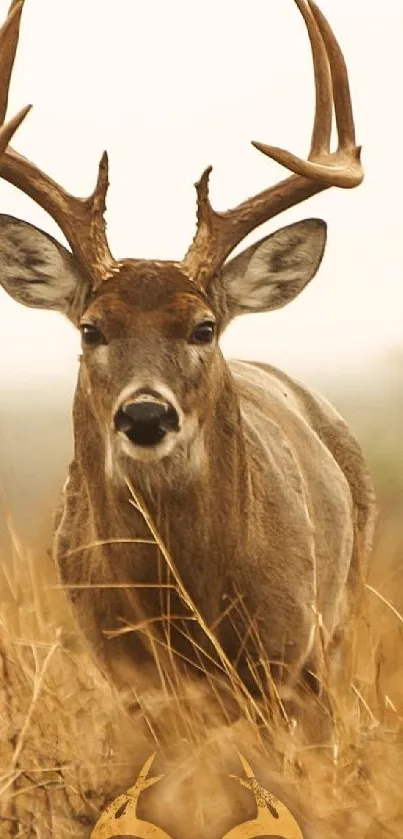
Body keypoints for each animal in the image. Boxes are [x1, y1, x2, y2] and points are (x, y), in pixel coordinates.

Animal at [1, 0, 378, 720]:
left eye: (203, 328)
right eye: (91, 329)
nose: (146, 416)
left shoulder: (293, 656)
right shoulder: (128, 679)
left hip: (342, 615)